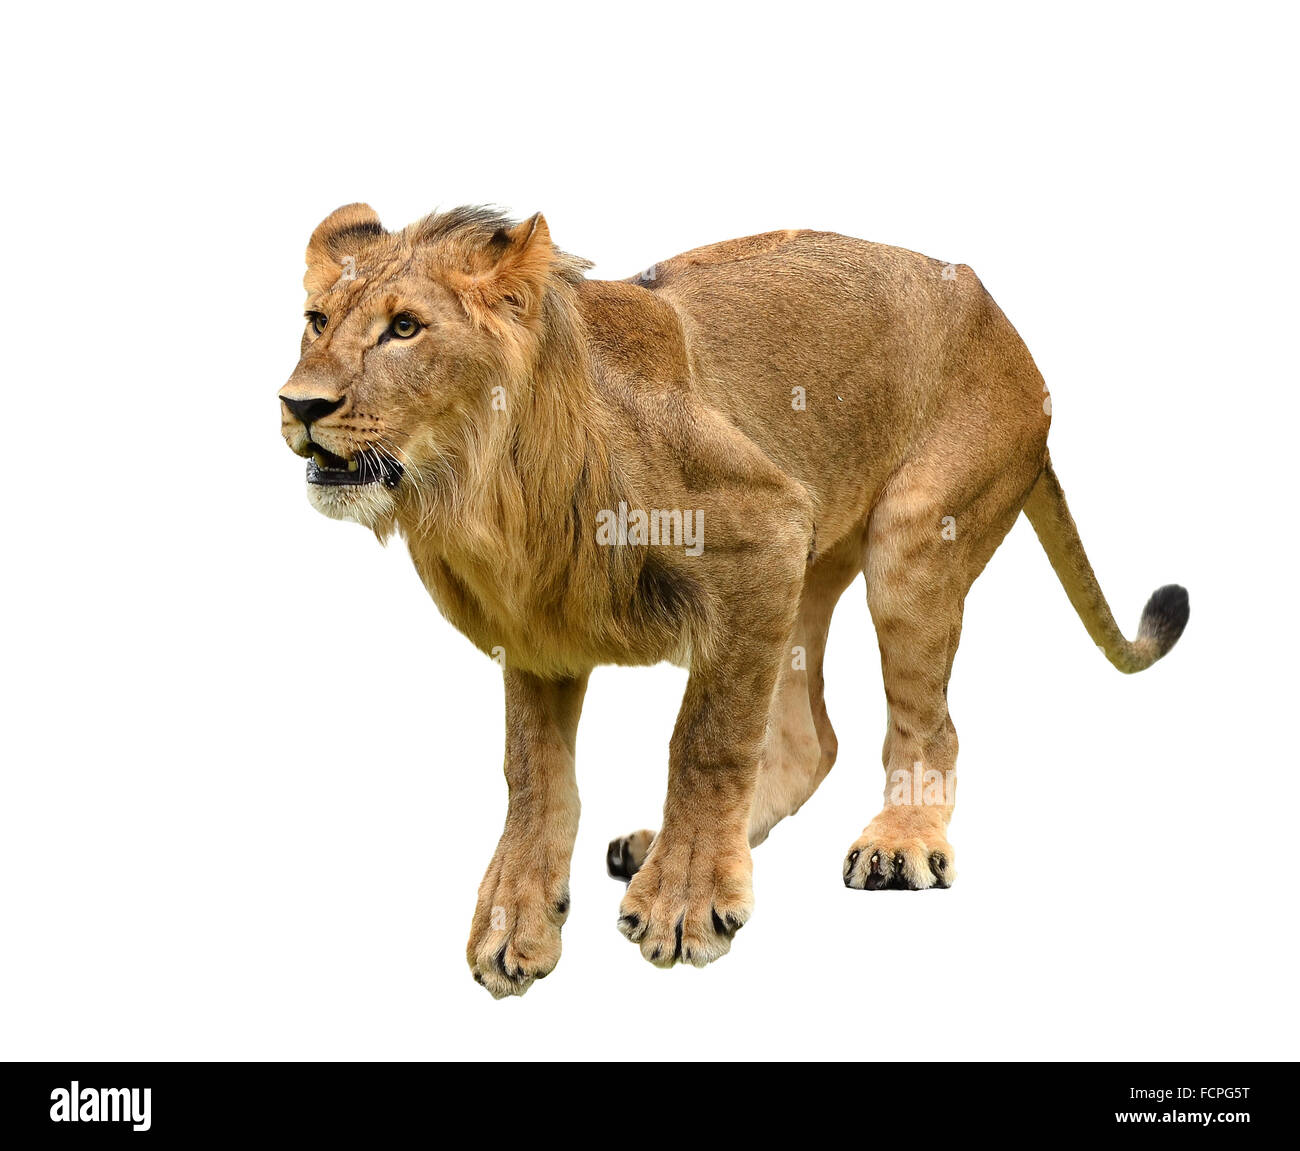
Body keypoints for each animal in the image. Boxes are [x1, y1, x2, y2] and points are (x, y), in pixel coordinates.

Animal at [278, 204, 1189, 998]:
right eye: (317, 320)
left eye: (405, 328)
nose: (300, 405)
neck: (485, 490)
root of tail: (1010, 332)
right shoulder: (543, 626)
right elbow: (531, 774)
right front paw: (515, 918)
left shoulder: (762, 526)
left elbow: (706, 740)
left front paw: (682, 904)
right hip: (812, 559)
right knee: (808, 737)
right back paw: (669, 842)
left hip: (912, 536)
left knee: (926, 724)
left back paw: (897, 843)